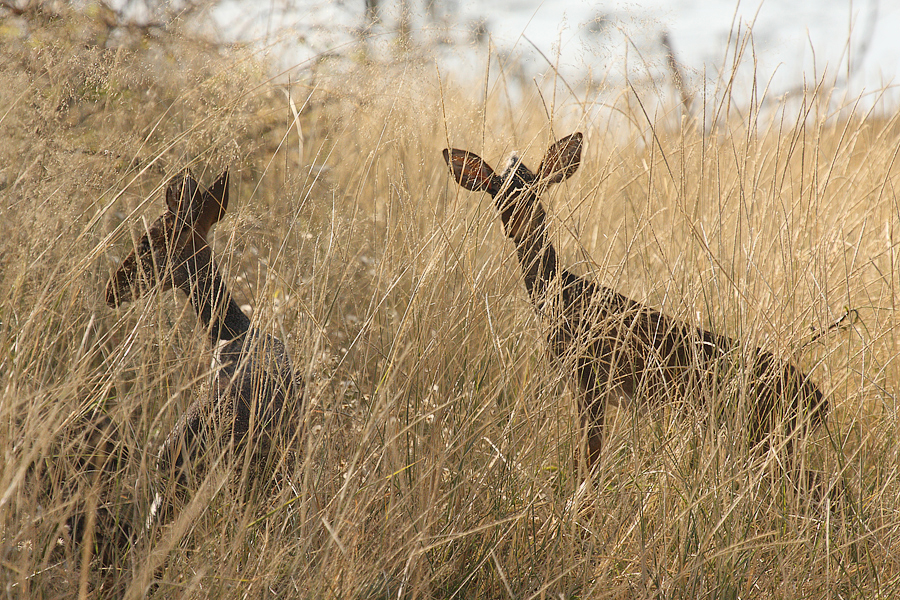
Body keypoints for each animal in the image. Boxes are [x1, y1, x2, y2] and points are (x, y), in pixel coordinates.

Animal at [440, 134, 828, 472]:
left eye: (538, 188)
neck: (561, 296)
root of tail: (819, 401)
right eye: (496, 191)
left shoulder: (591, 381)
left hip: (763, 432)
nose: (520, 223)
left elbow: (591, 462)